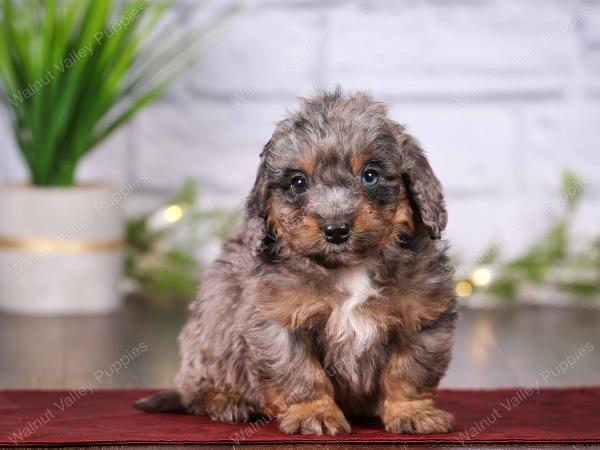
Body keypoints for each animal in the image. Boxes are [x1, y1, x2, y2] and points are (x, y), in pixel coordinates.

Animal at [135, 89, 454, 436]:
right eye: (299, 183)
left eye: (370, 176)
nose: (336, 229)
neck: (349, 270)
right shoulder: (279, 322)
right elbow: (300, 374)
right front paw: (312, 413)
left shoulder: (422, 320)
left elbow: (408, 372)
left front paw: (412, 411)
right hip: (210, 336)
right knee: (197, 387)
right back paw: (227, 400)